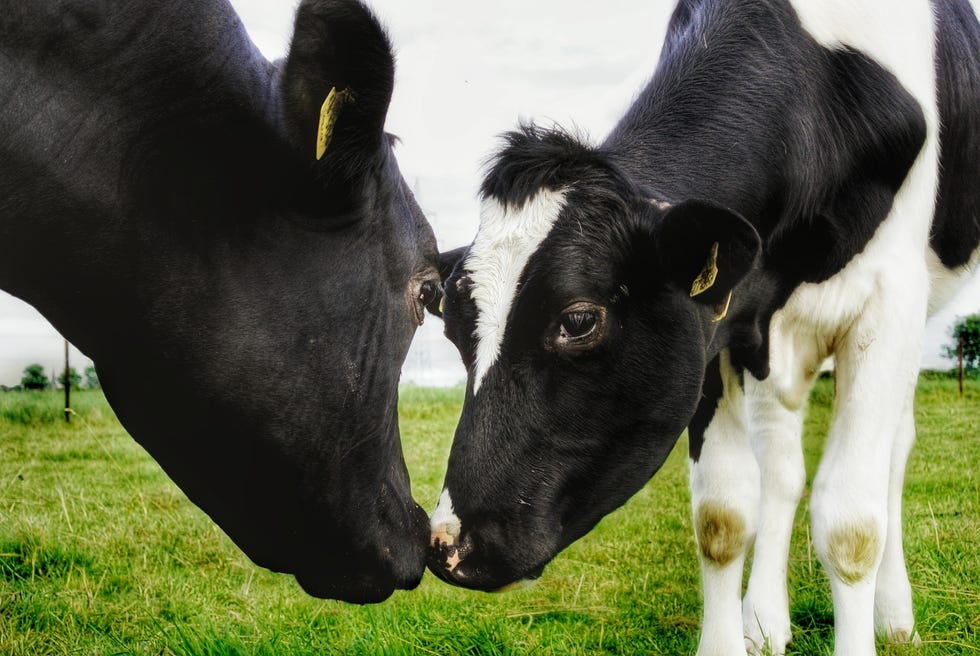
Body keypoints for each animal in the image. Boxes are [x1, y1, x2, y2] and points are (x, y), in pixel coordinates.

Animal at [430, 0, 980, 652]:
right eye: (452, 325)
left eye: (579, 320)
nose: (448, 545)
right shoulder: (714, 334)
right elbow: (723, 516)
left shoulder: (889, 302)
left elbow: (851, 526)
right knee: (781, 471)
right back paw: (764, 621)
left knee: (893, 454)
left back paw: (894, 617)